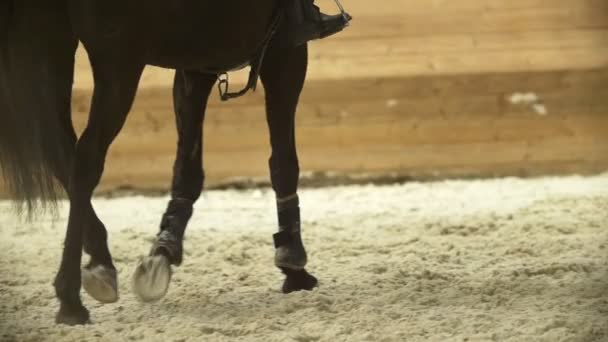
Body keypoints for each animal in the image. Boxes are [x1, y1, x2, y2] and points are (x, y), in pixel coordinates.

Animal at [0, 0, 328, 324]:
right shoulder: (285, 51)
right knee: (84, 161)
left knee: (61, 153)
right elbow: (283, 161)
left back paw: (100, 264)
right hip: (118, 58)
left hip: (54, 45)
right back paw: (71, 299)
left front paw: (165, 246)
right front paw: (293, 261)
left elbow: (188, 166)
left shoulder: (196, 62)